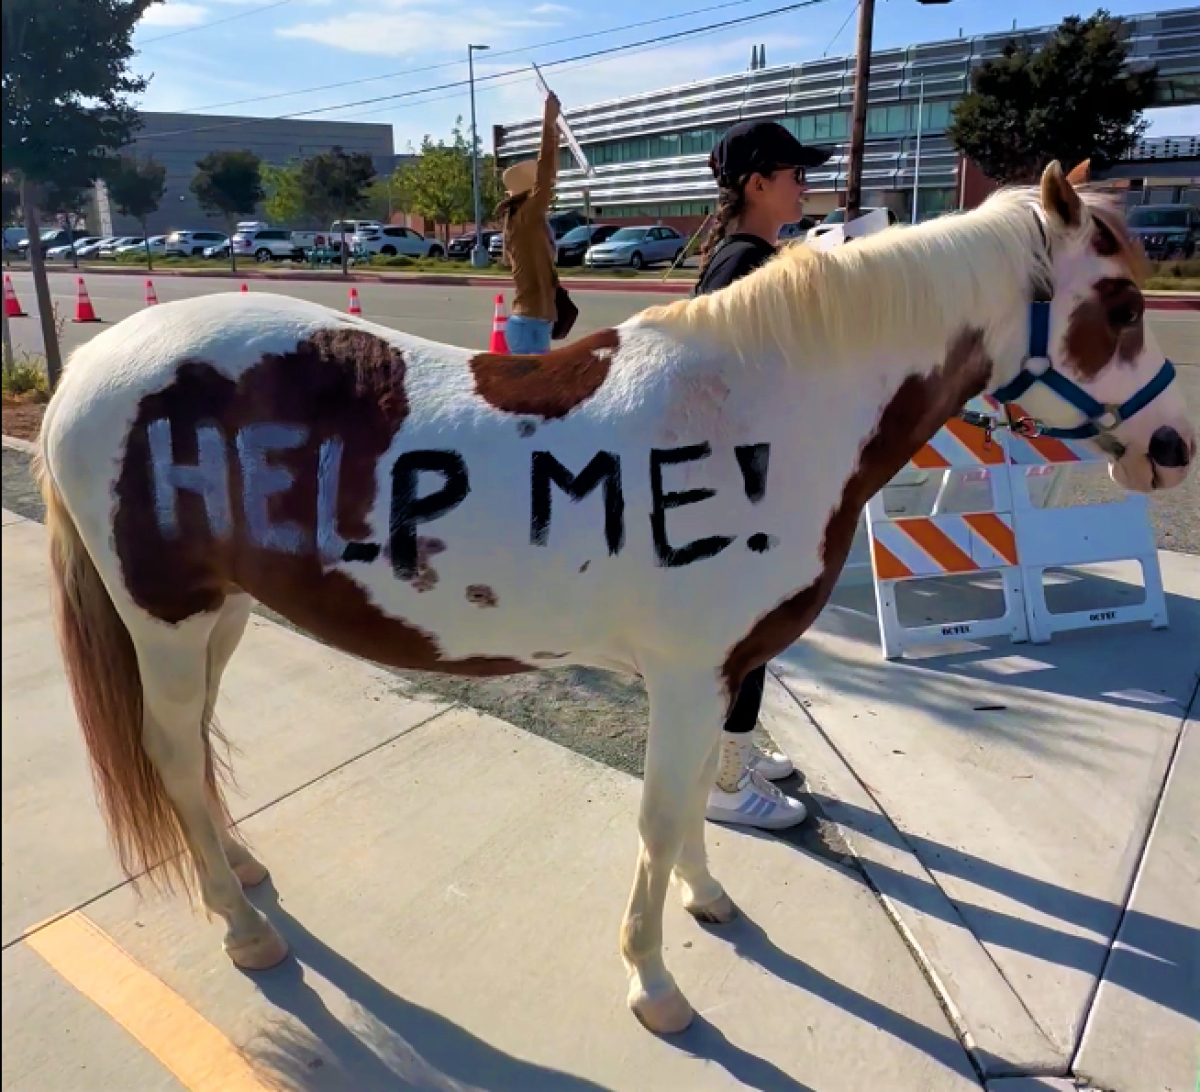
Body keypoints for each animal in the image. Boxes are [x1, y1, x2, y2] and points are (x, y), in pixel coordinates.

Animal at [35, 162, 1190, 1036]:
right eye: (1119, 305)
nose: (1173, 445)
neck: (767, 405)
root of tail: (85, 373)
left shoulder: (714, 676)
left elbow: (694, 796)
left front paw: (710, 900)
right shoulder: (685, 677)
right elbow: (659, 812)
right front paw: (655, 983)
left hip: (222, 615)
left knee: (192, 745)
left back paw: (239, 867)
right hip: (166, 620)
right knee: (171, 749)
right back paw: (242, 927)